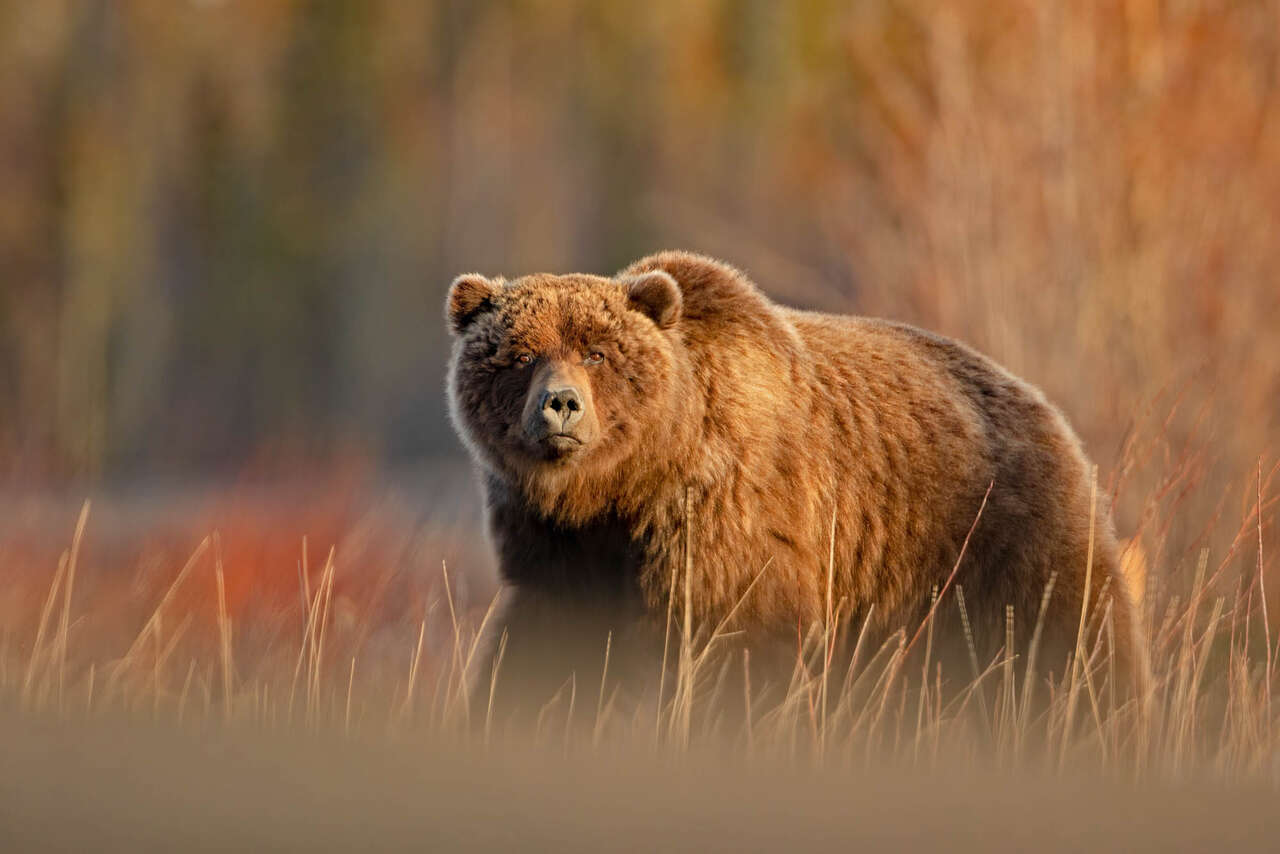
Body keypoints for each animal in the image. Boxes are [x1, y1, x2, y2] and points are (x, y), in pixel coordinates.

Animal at [445, 250, 1144, 724]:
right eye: (519, 355)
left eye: (595, 351)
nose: (561, 405)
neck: (631, 485)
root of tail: (1046, 409)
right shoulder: (559, 549)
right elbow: (543, 645)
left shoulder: (733, 521)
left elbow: (742, 646)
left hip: (996, 540)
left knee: (1070, 652)